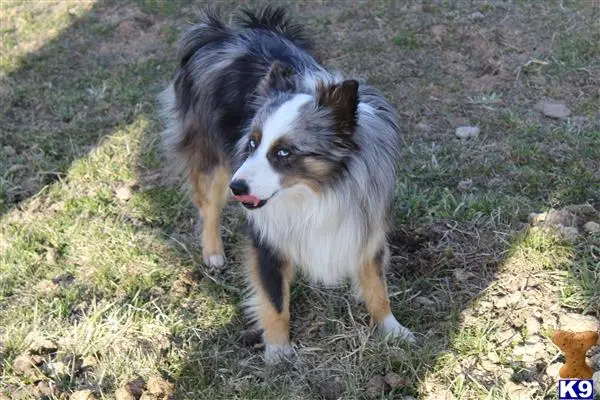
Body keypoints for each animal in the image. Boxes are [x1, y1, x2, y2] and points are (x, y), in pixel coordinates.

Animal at [157, 6, 414, 364]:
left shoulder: (366, 222)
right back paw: (213, 253)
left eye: (283, 152)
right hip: (213, 160)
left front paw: (393, 330)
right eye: (251, 143)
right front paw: (278, 351)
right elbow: (275, 297)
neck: (317, 189)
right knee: (208, 206)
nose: (238, 188)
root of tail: (222, 32)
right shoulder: (267, 235)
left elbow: (377, 286)